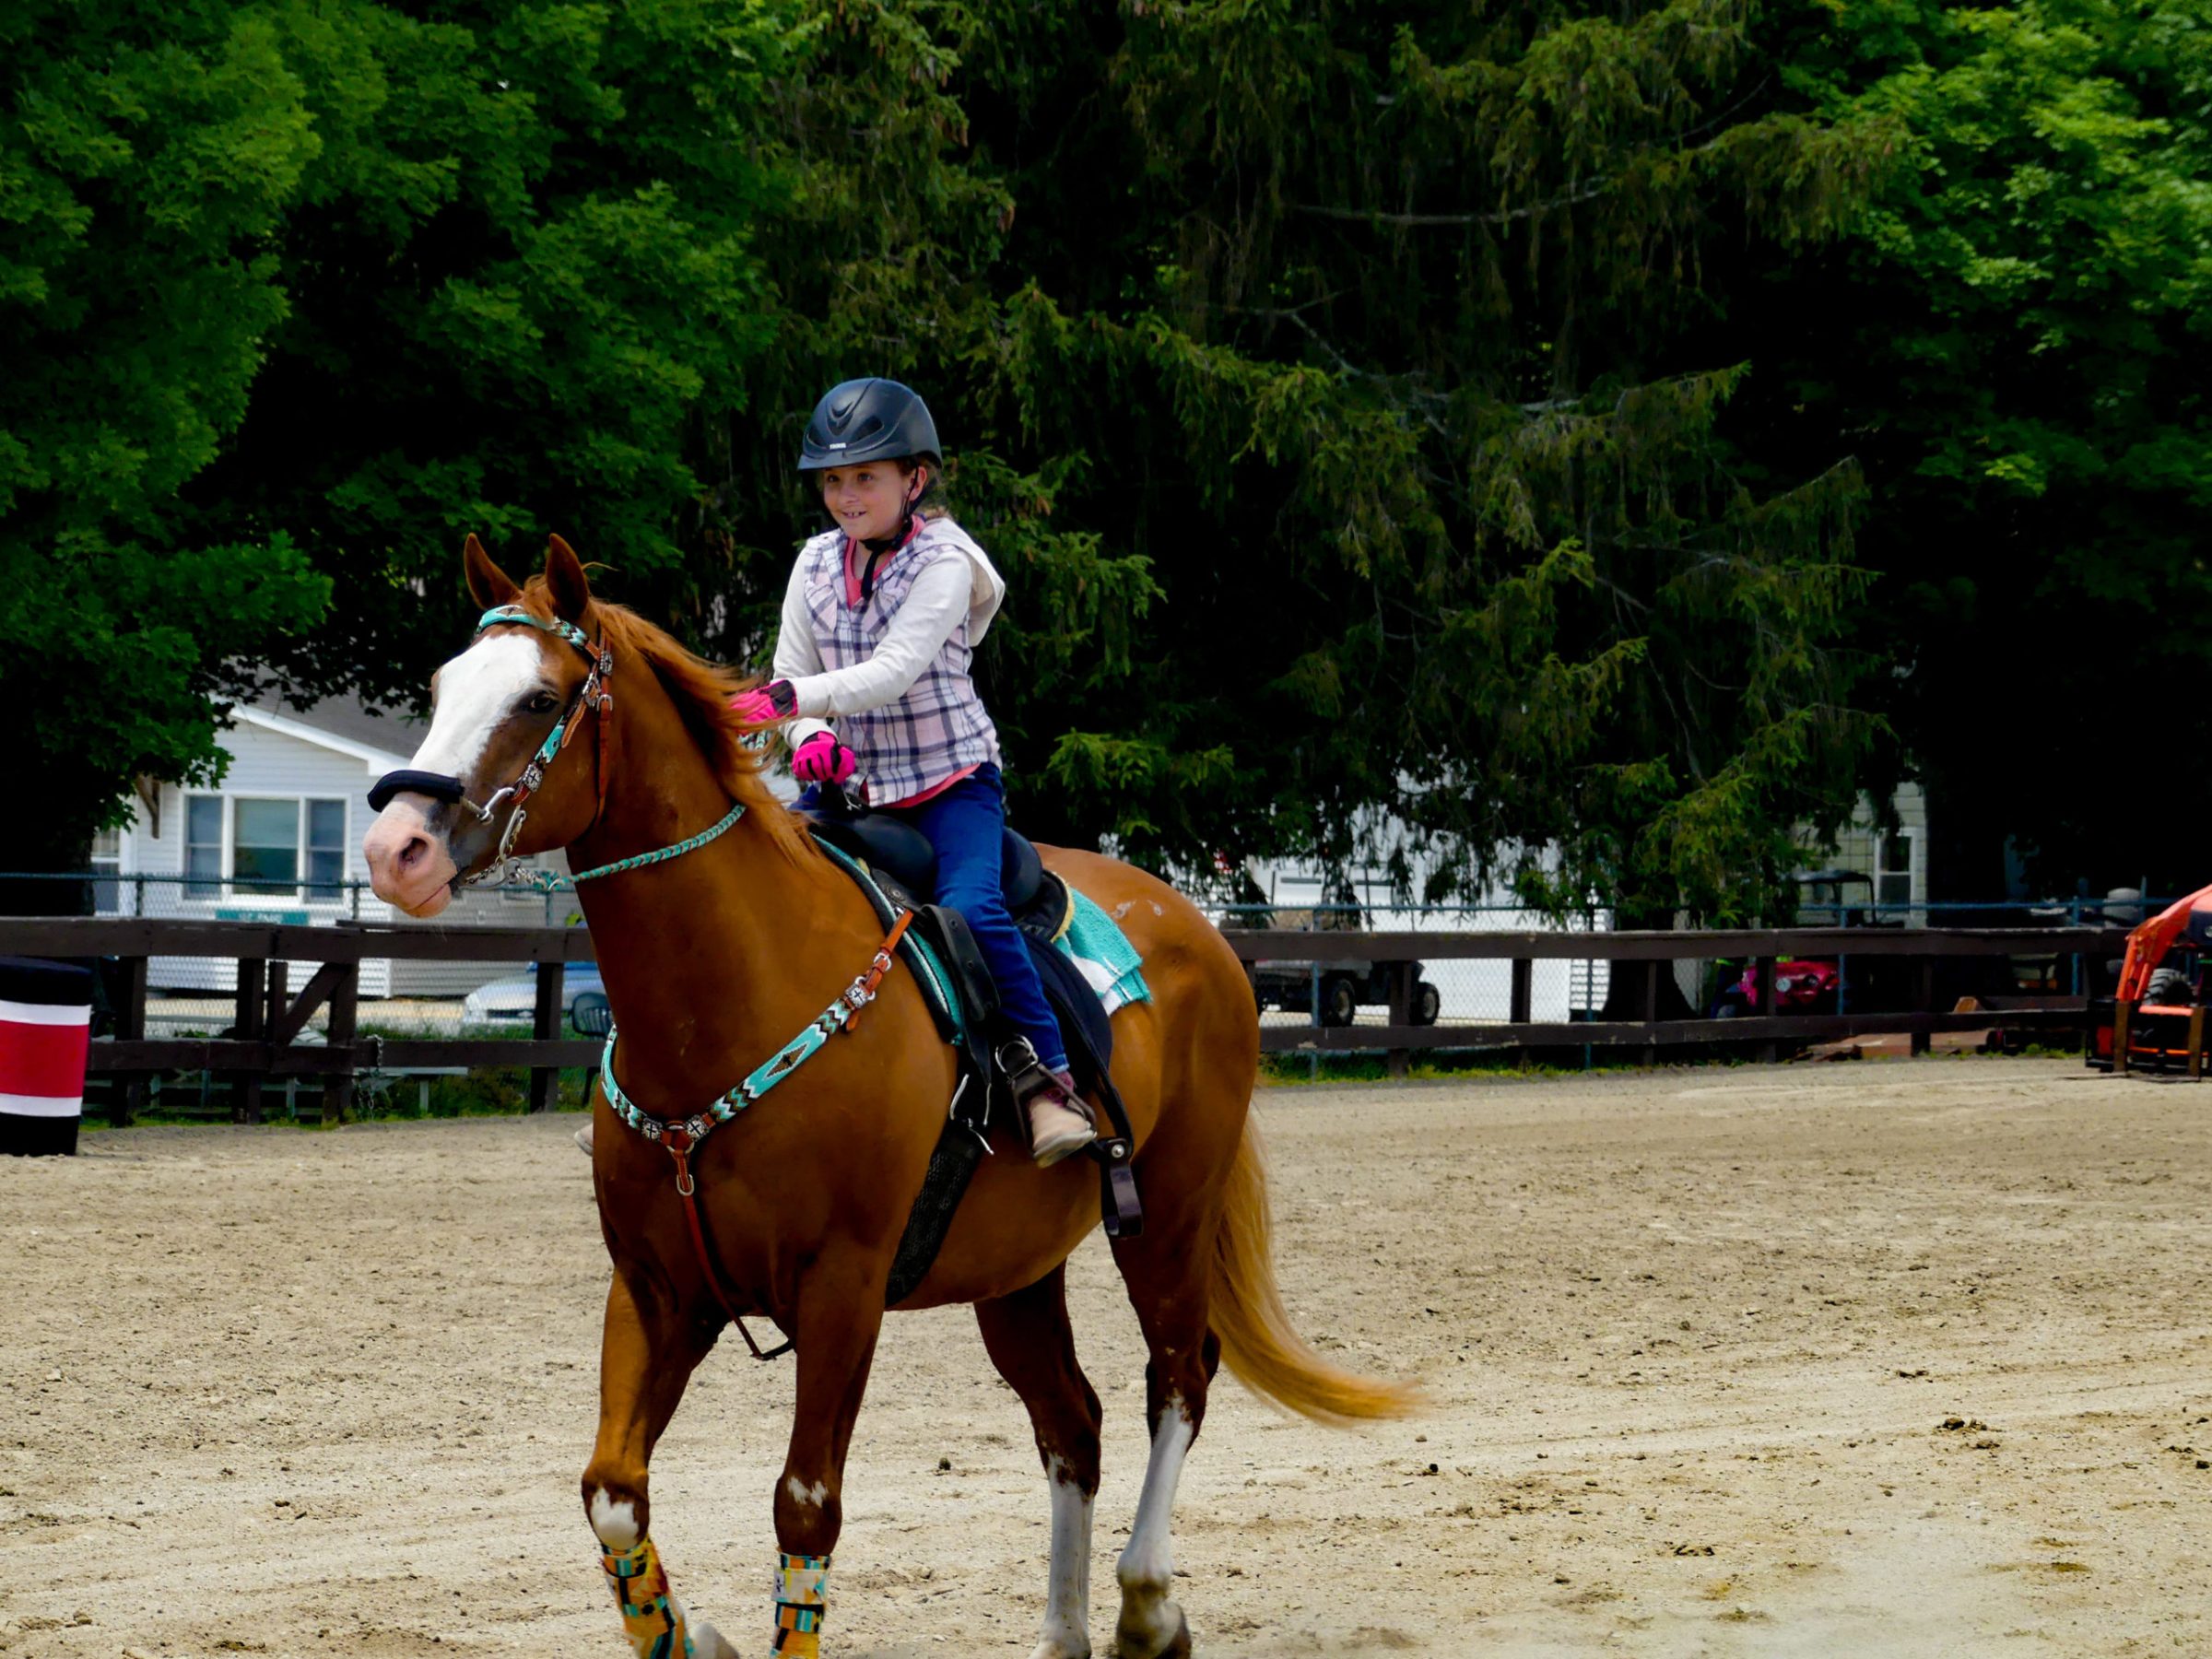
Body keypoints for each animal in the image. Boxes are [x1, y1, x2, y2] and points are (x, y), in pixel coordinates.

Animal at [363, 533, 1412, 1659]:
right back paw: (1062, 1634)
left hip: (1168, 1215)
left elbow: (805, 1506)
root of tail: (1198, 933)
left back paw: (1146, 1606)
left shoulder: (843, 1291)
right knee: (1071, 1423)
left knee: (1178, 1378)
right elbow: (612, 1491)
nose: (396, 850)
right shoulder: (656, 1288)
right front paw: (694, 1638)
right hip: (1017, 1275)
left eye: (537, 698)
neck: (735, 998)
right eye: (443, 687)